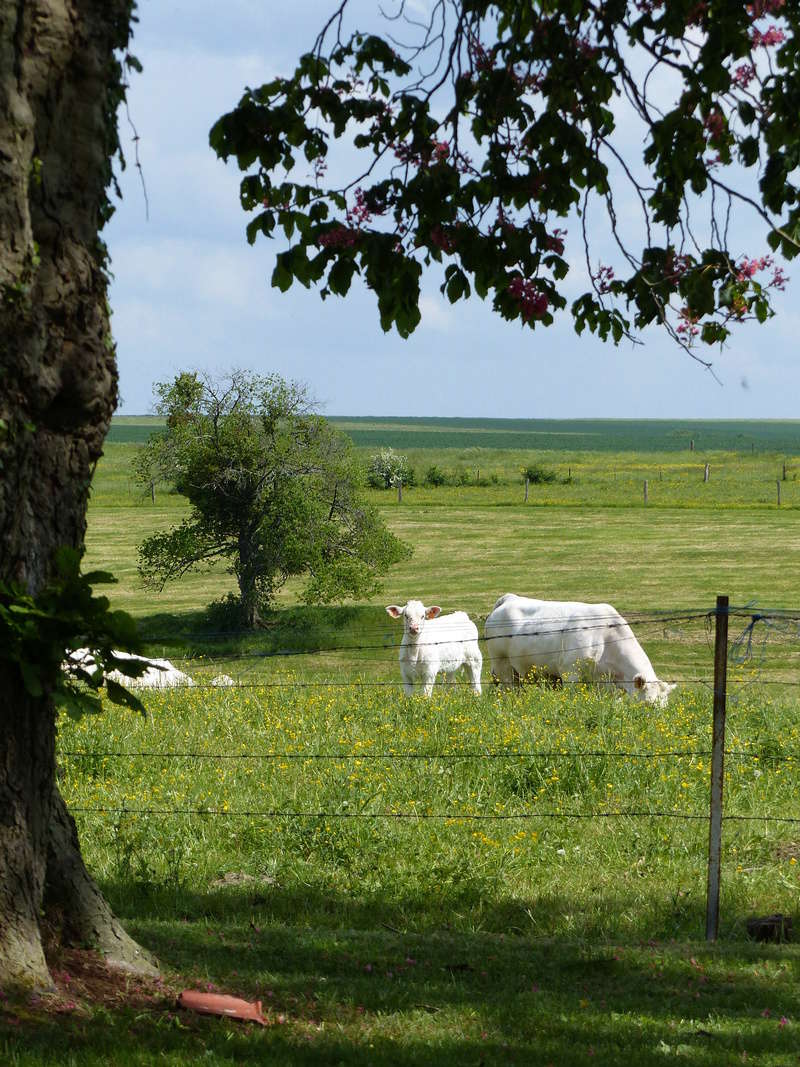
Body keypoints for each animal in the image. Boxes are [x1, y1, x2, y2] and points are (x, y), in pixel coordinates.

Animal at [482, 593, 678, 708]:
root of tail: (509, 599)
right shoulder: (571, 675)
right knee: (509, 689)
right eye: (649, 705)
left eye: (664, 707)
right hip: (502, 664)